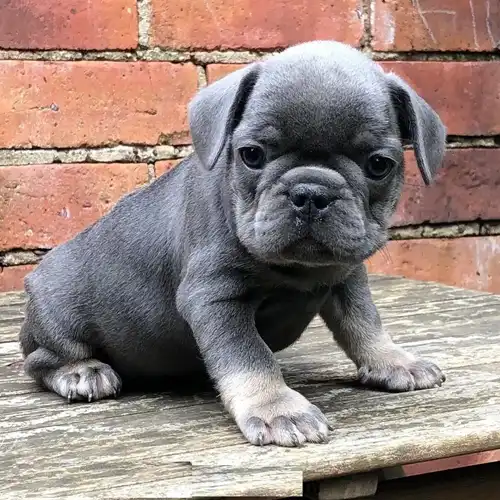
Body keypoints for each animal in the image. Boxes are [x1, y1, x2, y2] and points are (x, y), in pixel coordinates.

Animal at [21, 41, 448, 448]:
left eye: (379, 165)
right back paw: (82, 372)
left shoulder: (347, 277)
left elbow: (365, 322)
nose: (311, 192)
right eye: (252, 155)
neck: (297, 269)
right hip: (59, 316)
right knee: (40, 360)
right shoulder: (216, 298)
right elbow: (250, 356)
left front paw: (392, 360)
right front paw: (278, 408)